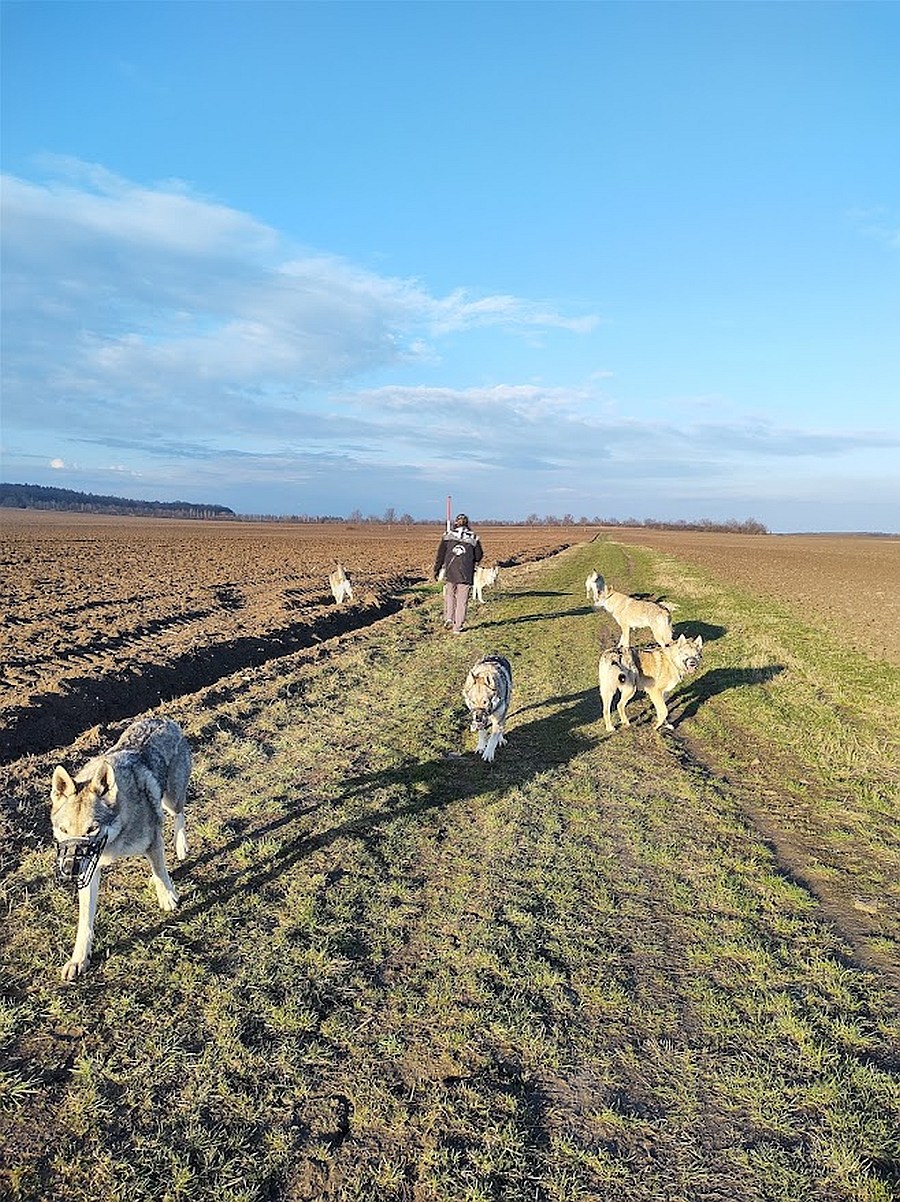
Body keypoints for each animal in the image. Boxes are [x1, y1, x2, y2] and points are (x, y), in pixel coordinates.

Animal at [48, 716, 189, 980]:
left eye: (92, 828)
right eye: (63, 830)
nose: (70, 869)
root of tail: (163, 719)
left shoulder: (153, 841)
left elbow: (160, 872)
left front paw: (167, 897)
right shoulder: (89, 872)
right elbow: (85, 920)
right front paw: (79, 959)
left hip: (172, 800)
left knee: (180, 815)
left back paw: (181, 846)